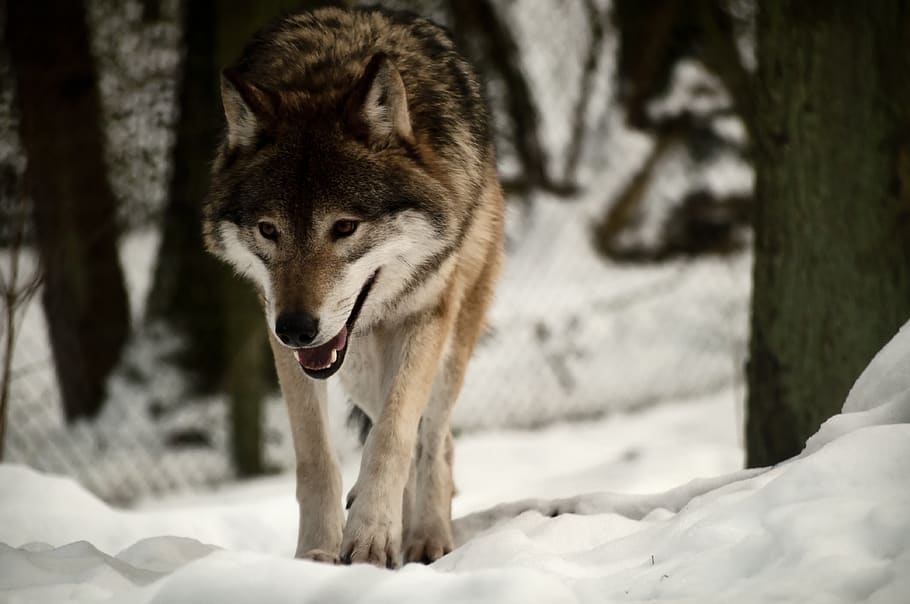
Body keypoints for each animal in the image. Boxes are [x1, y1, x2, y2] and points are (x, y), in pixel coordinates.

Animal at [203, 7, 503, 568]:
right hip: (356, 366)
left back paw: (427, 536)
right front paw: (318, 553)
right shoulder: (285, 338)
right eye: (268, 230)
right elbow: (316, 457)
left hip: (449, 338)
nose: (297, 328)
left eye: (344, 227)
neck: (330, 70)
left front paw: (369, 538)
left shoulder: (425, 316)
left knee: (434, 437)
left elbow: (393, 437)